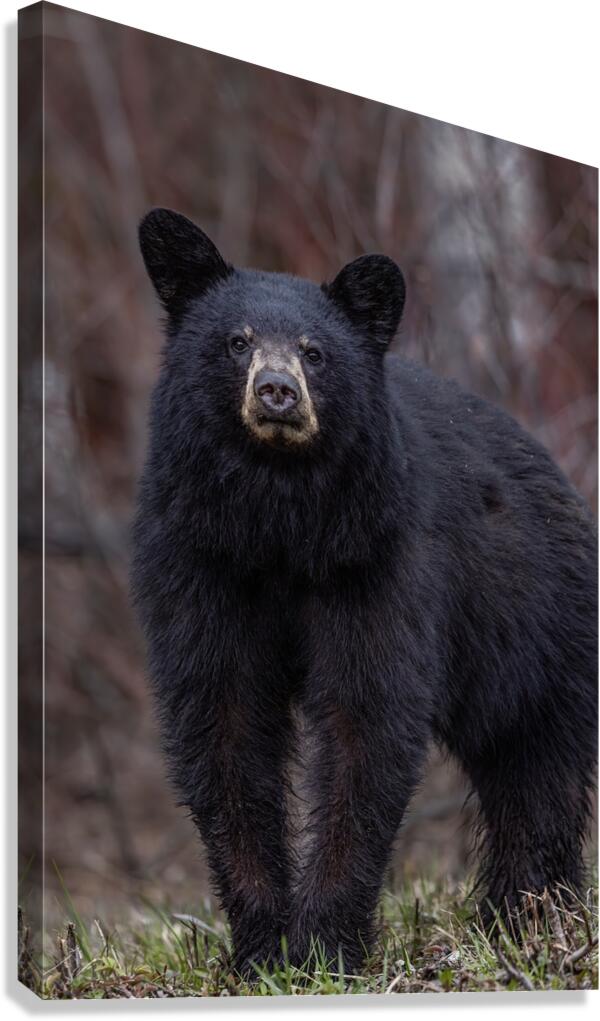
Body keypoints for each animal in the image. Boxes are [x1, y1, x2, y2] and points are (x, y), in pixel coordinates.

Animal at [131, 207, 597, 977]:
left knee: (537, 767)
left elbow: (366, 717)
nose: (277, 391)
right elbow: (223, 716)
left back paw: (525, 915)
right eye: (237, 342)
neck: (279, 518)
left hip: (538, 625)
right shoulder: (200, 559)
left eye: (315, 352)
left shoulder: (377, 557)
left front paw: (326, 944)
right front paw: (261, 947)